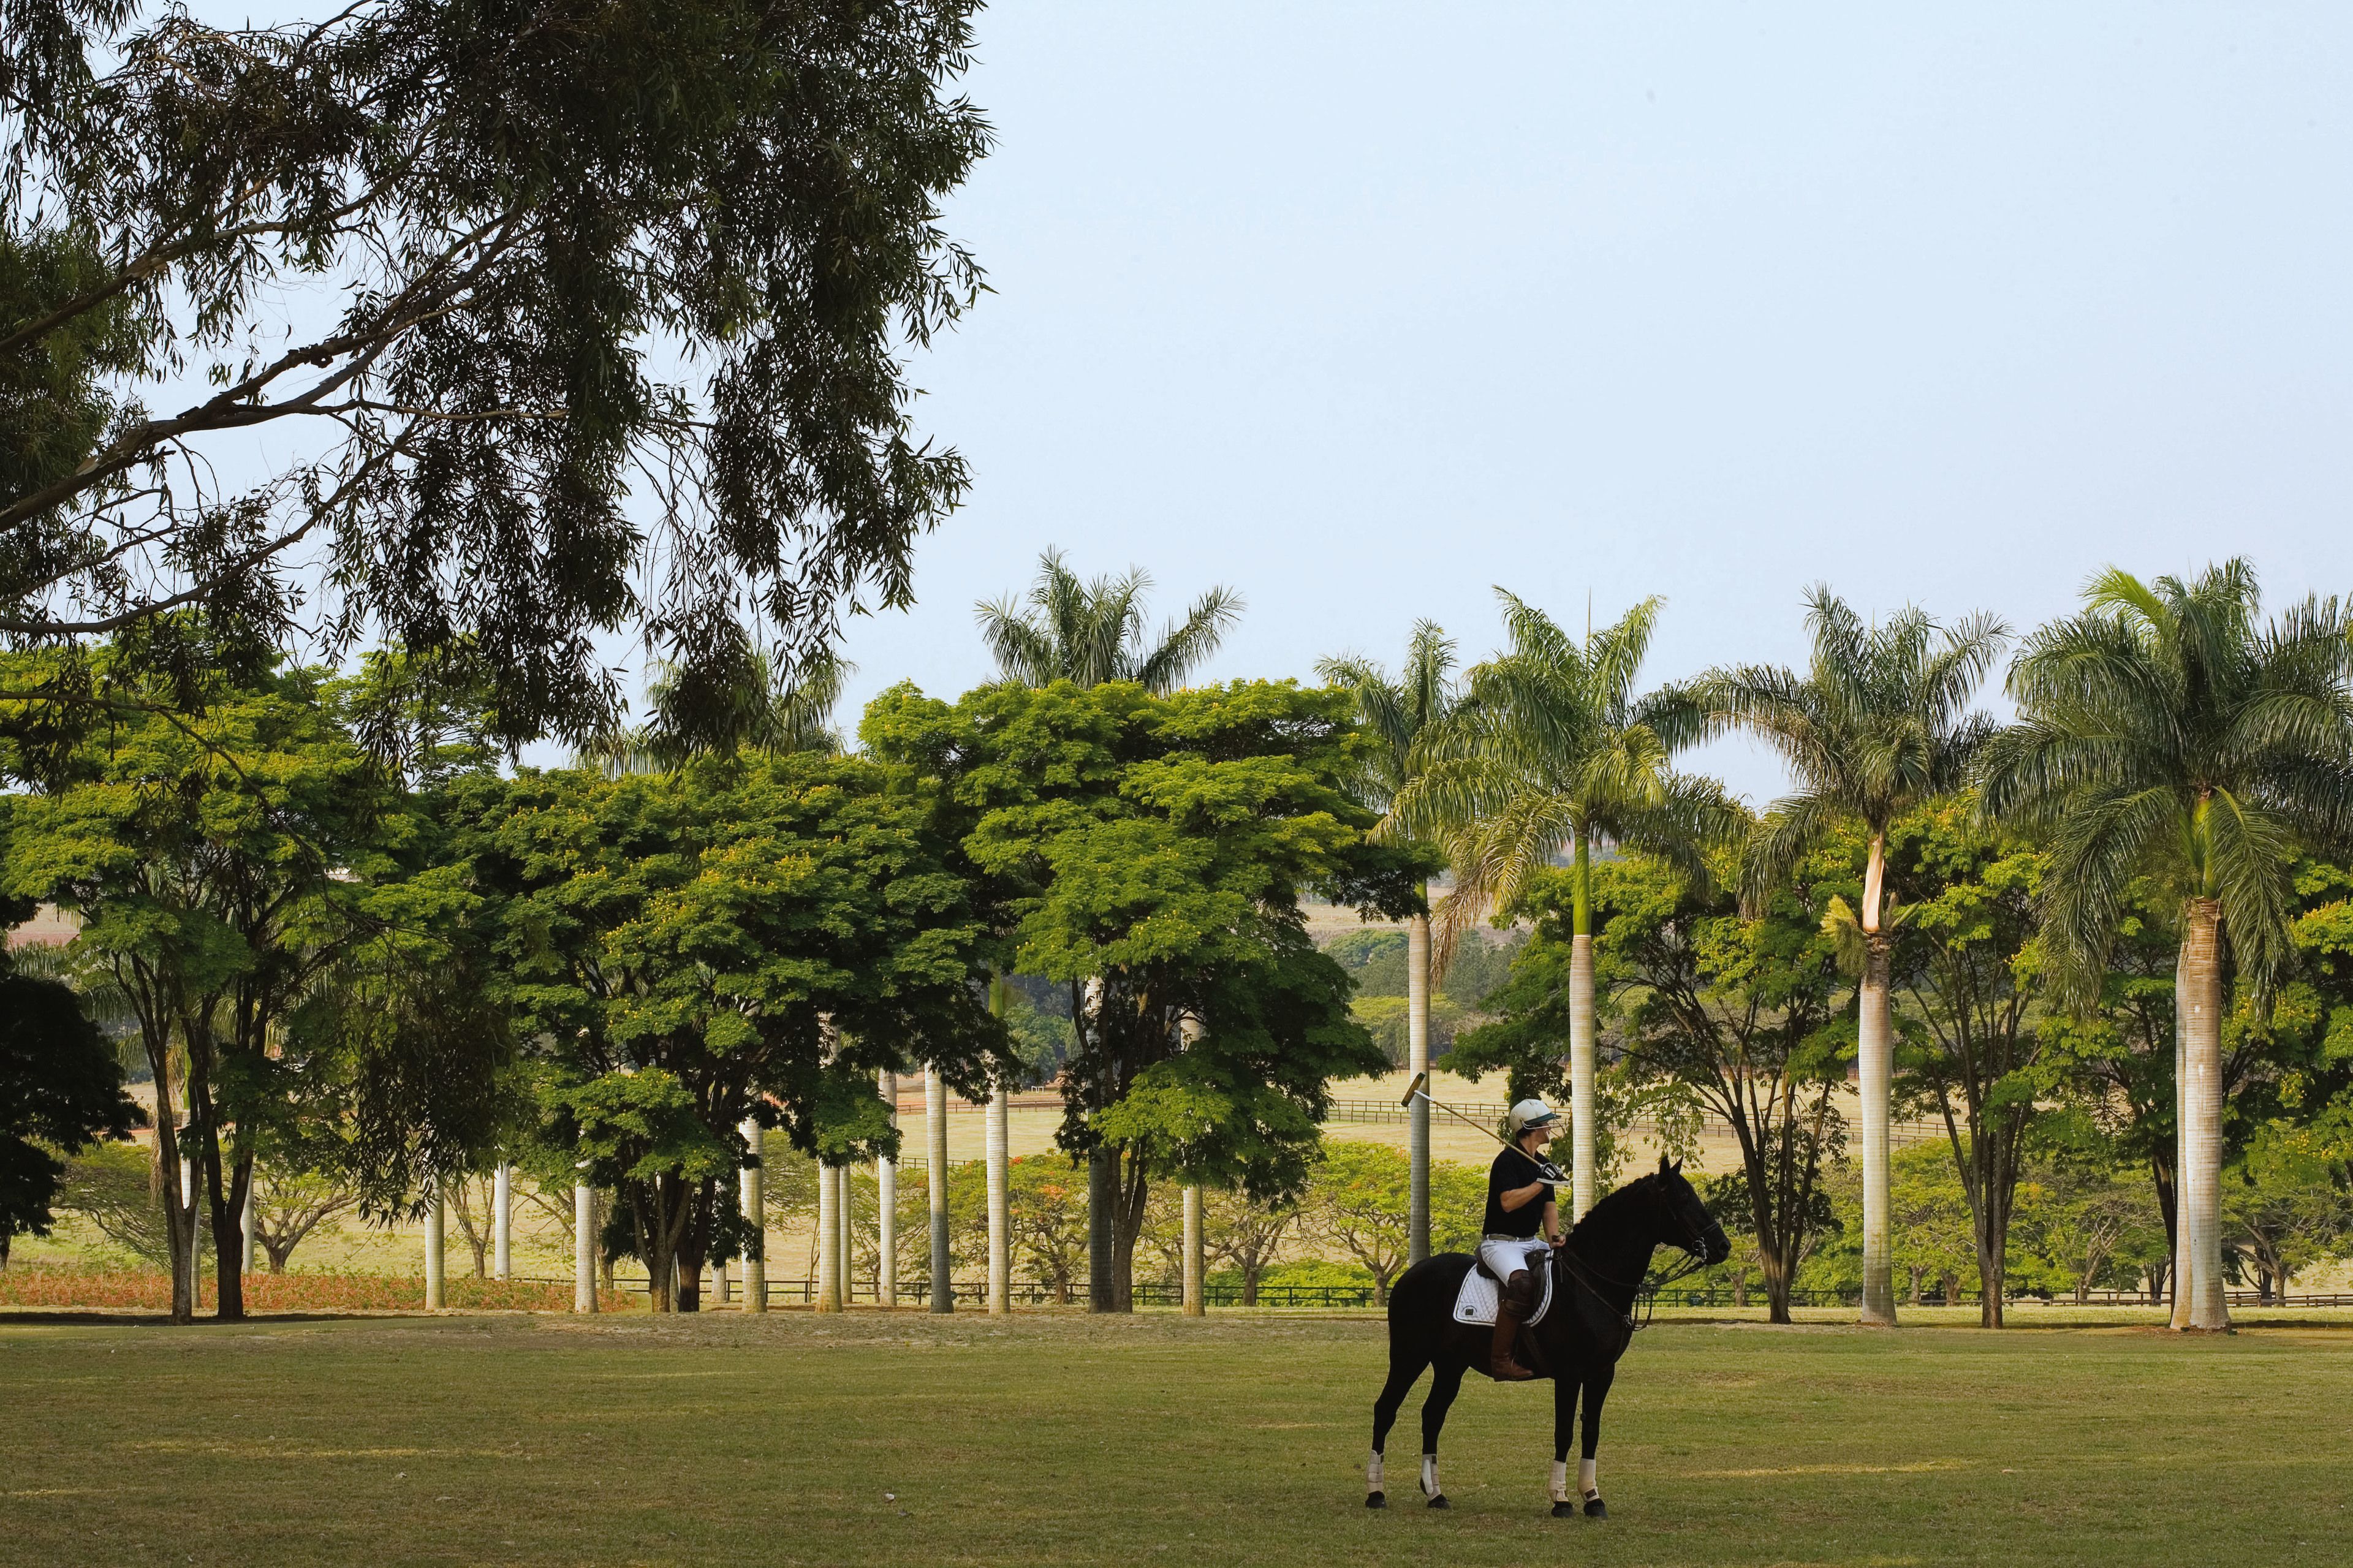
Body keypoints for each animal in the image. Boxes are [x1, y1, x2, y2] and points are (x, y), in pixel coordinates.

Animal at [1365, 1154, 1730, 1518]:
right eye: (1683, 1199)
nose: (1723, 1246)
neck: (1592, 1281)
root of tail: (1409, 1275)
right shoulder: (1569, 1373)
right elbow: (1564, 1431)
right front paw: (1562, 1499)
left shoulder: (1602, 1373)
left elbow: (1591, 1430)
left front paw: (1593, 1498)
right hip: (1409, 1356)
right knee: (1385, 1409)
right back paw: (1376, 1492)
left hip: (1450, 1365)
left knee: (1432, 1415)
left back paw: (1436, 1494)